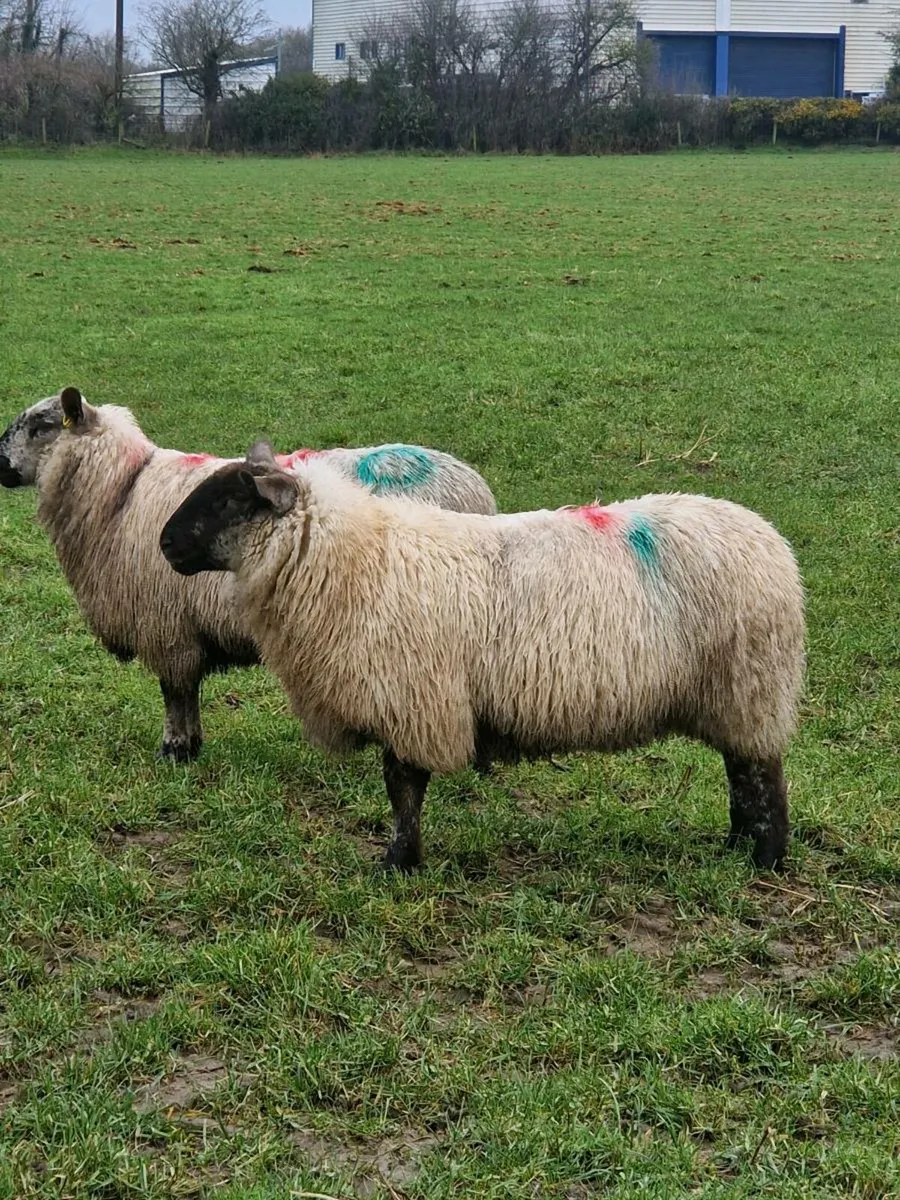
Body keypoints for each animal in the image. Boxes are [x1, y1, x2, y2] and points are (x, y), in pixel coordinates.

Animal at [0, 387, 496, 761]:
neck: (121, 493)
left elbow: (174, 691)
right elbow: (186, 692)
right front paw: (192, 746)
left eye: (40, 426)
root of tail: (474, 487)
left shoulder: (166, 626)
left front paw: (175, 750)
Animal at [159, 439, 806, 873]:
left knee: (762, 776)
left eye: (227, 502)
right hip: (735, 694)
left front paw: (398, 864)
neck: (352, 558)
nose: (163, 543)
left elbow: (403, 787)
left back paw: (764, 859)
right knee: (741, 773)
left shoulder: (414, 697)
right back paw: (735, 845)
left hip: (750, 687)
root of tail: (769, 540)